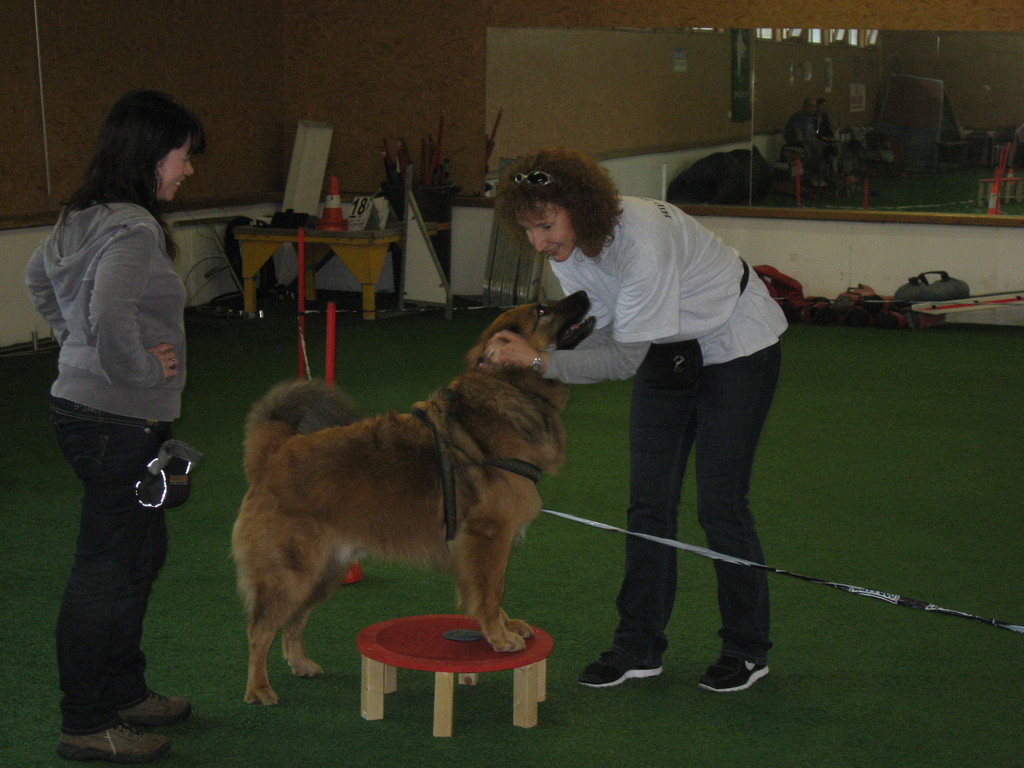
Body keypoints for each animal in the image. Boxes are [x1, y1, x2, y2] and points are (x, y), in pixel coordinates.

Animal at [232, 290, 593, 708]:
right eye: (542, 310)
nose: (583, 294)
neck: (513, 390)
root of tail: (274, 453)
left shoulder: (489, 546)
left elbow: (495, 588)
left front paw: (506, 626)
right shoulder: (488, 537)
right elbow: (489, 592)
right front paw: (499, 636)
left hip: (324, 572)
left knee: (293, 621)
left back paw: (301, 663)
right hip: (292, 573)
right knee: (259, 629)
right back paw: (259, 688)